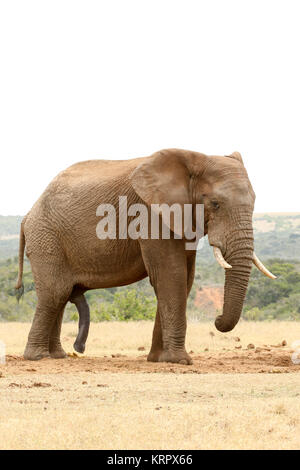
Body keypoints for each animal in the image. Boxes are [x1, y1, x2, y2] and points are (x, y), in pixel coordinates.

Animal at [15, 149, 276, 362]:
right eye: (215, 204)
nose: (217, 319)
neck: (193, 158)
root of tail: (27, 217)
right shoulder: (150, 213)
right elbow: (171, 275)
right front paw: (179, 361)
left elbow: (184, 278)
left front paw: (158, 360)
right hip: (46, 237)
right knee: (55, 293)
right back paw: (38, 357)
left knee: (61, 294)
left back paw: (57, 356)